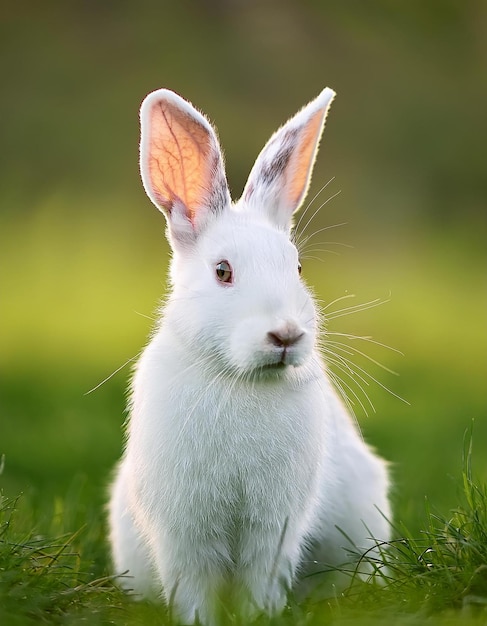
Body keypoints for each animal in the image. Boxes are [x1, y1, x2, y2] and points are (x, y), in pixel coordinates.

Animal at [108, 85, 390, 620]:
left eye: (297, 268)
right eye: (222, 271)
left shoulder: (274, 526)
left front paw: (259, 616)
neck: (241, 381)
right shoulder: (185, 530)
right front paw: (199, 621)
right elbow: (194, 586)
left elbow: (261, 579)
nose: (285, 336)